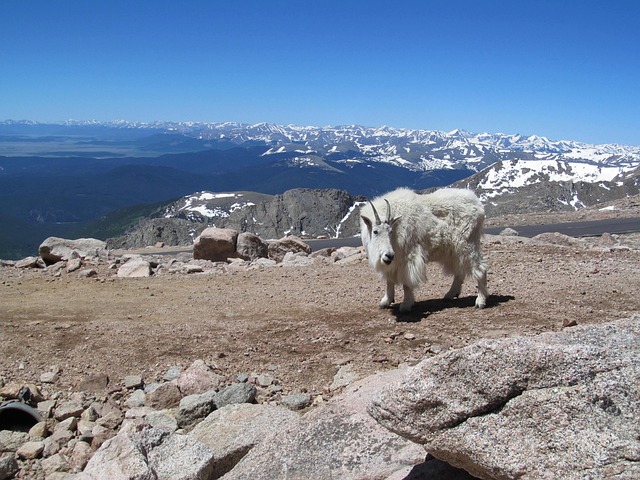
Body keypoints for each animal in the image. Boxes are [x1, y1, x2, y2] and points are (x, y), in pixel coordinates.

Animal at [360, 187, 488, 312]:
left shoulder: (408, 257)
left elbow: (406, 282)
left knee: (480, 269)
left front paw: (406, 305)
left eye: (390, 231)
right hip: (454, 251)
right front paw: (385, 301)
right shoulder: (393, 262)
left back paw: (480, 301)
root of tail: (479, 206)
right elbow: (389, 280)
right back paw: (450, 295)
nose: (389, 255)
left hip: (467, 244)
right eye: (375, 231)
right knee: (459, 270)